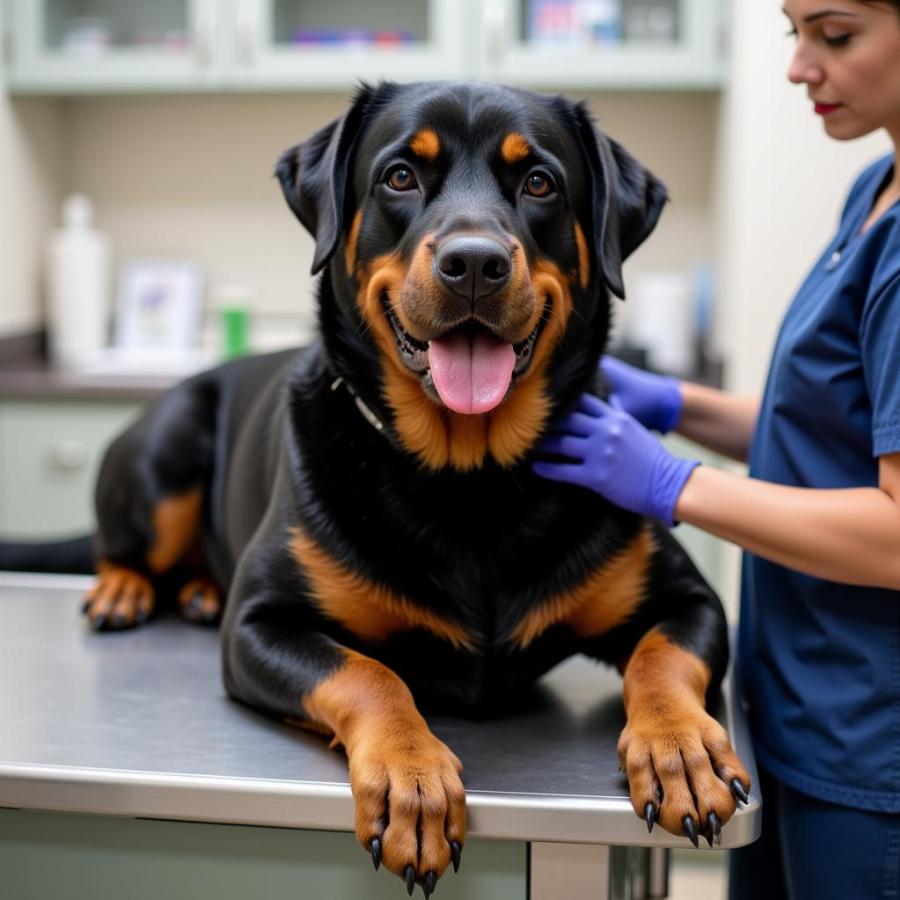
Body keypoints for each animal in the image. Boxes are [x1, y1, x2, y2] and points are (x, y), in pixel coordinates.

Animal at [81, 82, 748, 892]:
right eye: (400, 176)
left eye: (539, 182)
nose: (474, 263)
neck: (470, 477)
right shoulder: (259, 625)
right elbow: (368, 674)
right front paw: (412, 777)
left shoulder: (689, 600)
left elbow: (663, 658)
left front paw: (681, 746)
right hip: (167, 452)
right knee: (127, 543)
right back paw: (126, 588)